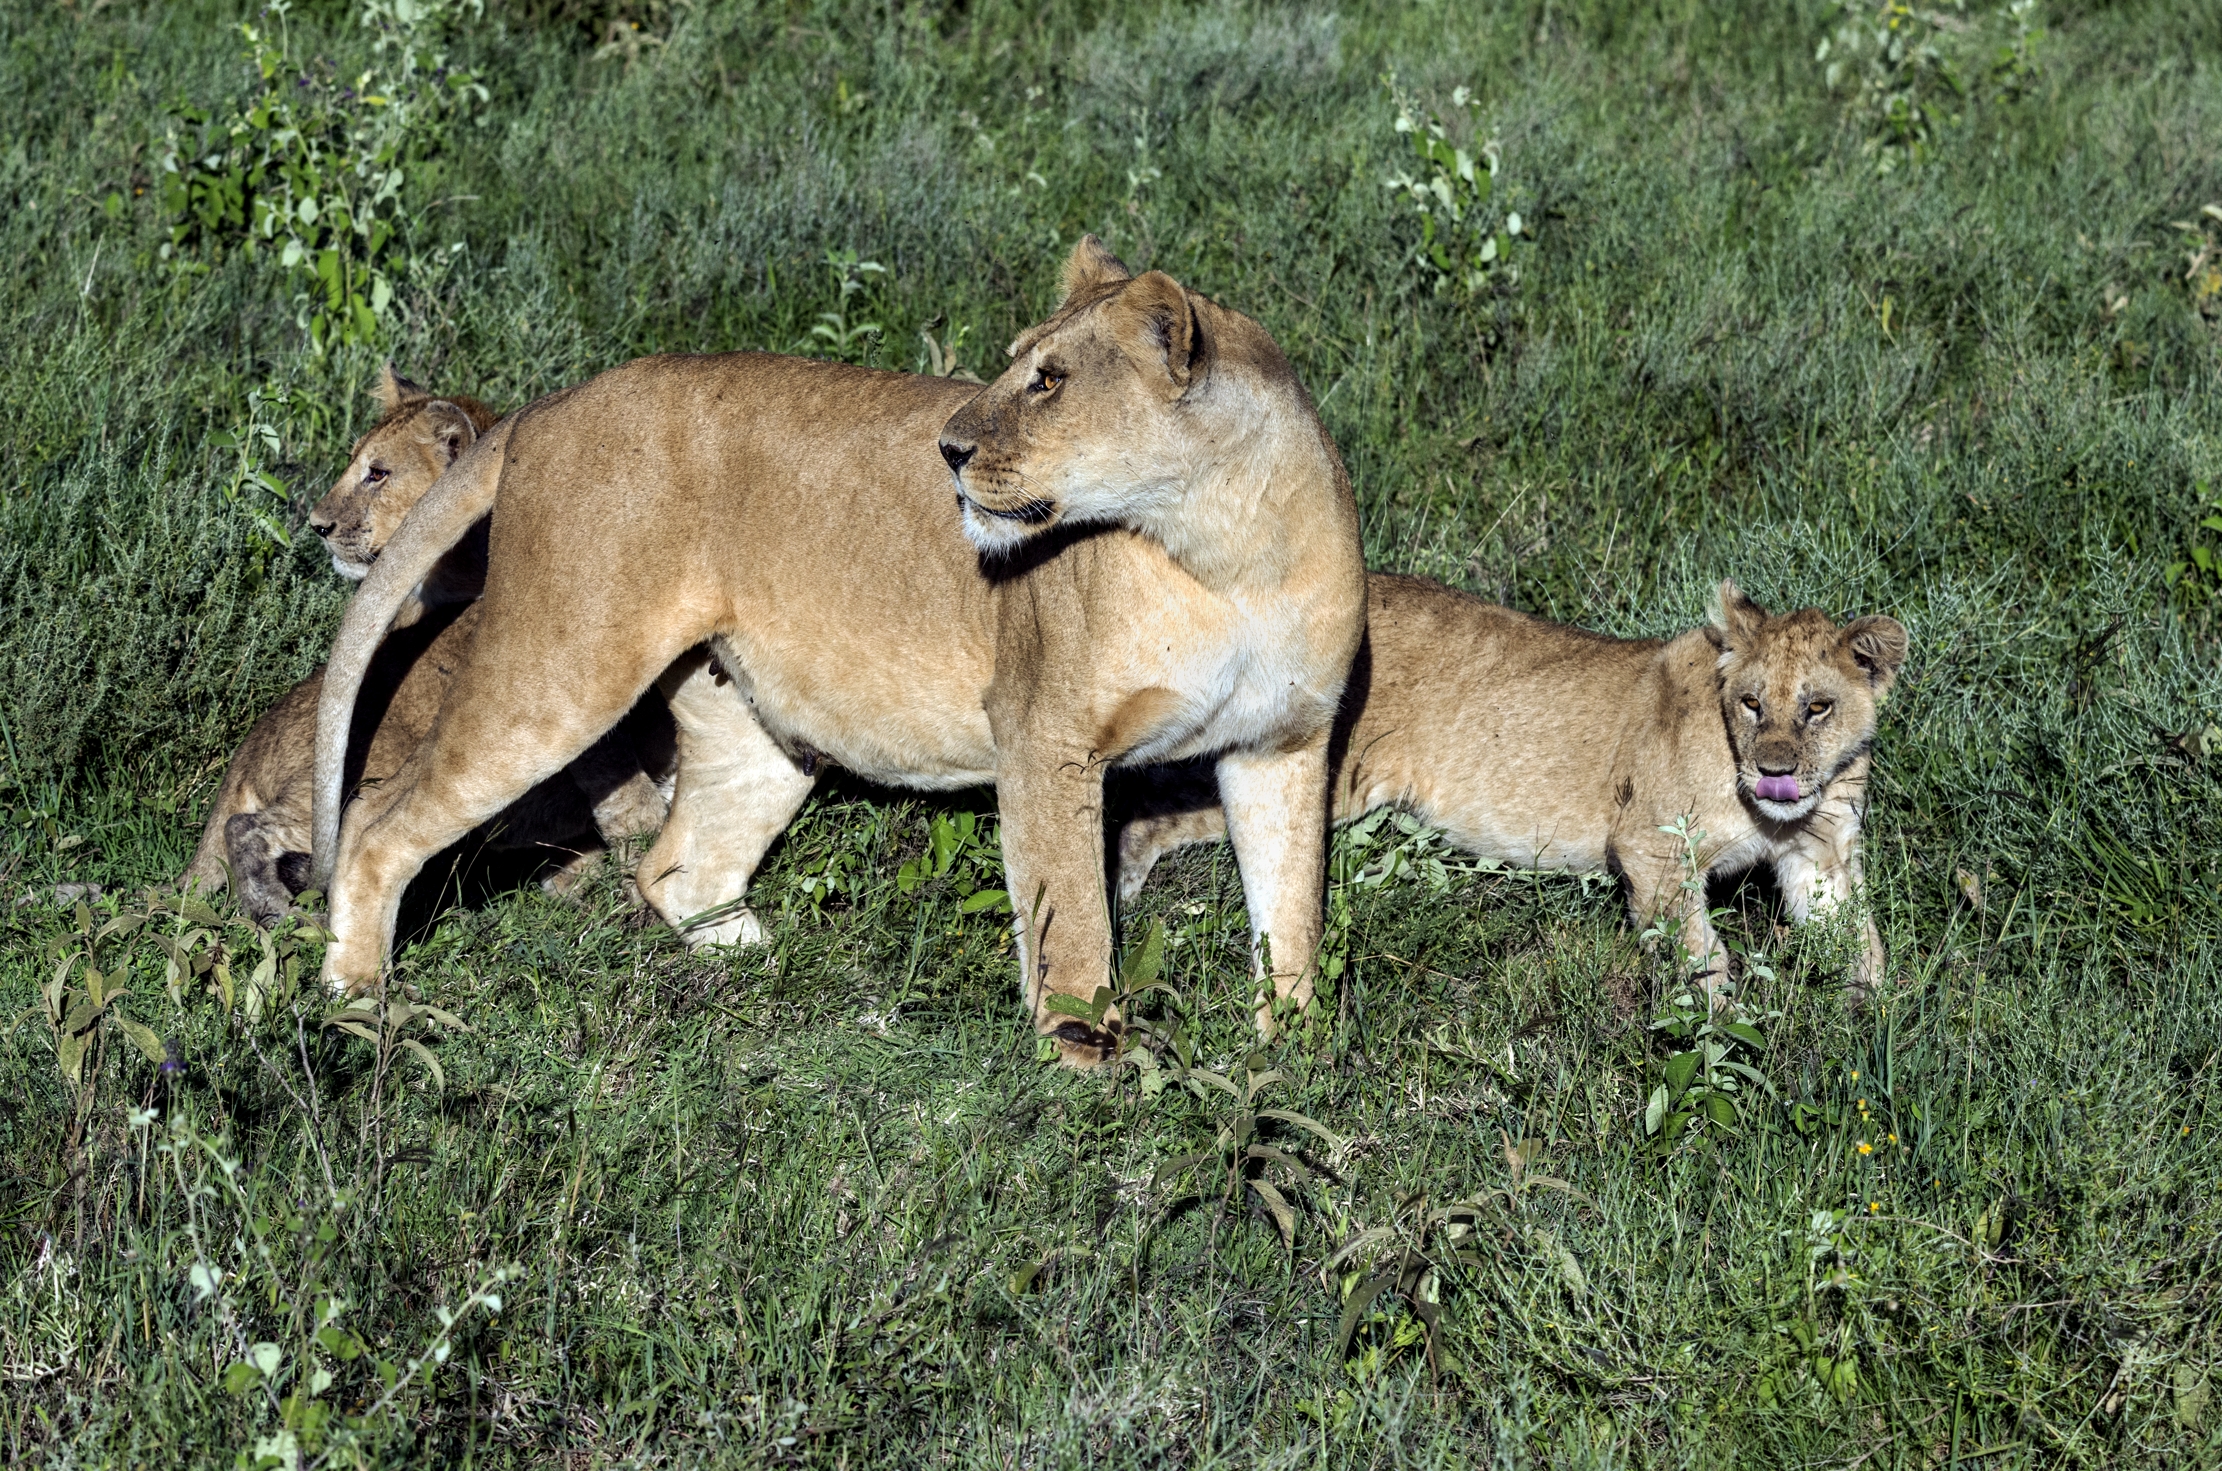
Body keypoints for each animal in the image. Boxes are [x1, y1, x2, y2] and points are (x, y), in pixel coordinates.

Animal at [308, 238, 1367, 1062]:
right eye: (1017, 363)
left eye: (1051, 381)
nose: (947, 449)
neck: (1229, 553)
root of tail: (551, 403)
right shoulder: (1045, 736)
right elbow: (1073, 925)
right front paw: (1087, 1074)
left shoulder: (1281, 745)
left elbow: (1293, 912)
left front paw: (1294, 1056)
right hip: (557, 668)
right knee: (373, 825)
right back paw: (357, 1001)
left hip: (755, 724)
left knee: (677, 866)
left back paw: (769, 973)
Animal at [1115, 576, 1909, 1003]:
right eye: (1751, 703)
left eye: (1817, 707)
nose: (1775, 769)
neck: (1776, 814)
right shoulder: (1650, 848)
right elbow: (1701, 959)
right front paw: (1732, 1038)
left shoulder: (1824, 855)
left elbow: (1862, 940)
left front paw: (1876, 1021)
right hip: (1326, 779)